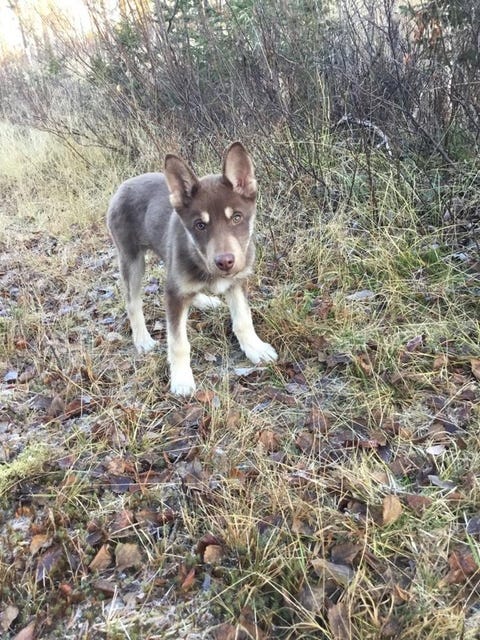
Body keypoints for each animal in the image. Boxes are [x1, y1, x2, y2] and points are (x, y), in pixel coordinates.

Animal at [107, 141, 277, 395]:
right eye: (200, 225)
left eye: (237, 217)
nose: (225, 261)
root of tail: (123, 185)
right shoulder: (174, 294)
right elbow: (178, 343)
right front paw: (181, 379)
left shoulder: (237, 282)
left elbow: (243, 320)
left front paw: (255, 348)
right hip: (131, 257)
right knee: (132, 301)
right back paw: (142, 339)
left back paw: (203, 300)